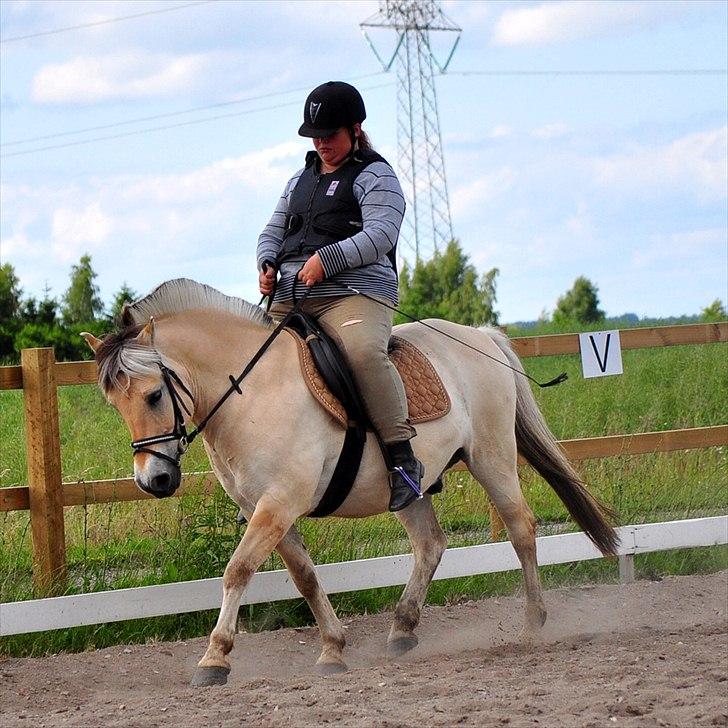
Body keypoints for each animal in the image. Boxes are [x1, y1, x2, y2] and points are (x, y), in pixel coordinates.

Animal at [85, 278, 620, 688]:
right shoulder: (269, 509)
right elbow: (304, 577)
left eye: (154, 395)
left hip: (492, 458)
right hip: (408, 487)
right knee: (430, 544)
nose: (154, 479)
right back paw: (402, 630)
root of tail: (482, 337)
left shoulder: (278, 503)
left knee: (520, 527)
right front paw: (333, 650)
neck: (250, 392)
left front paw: (214, 658)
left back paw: (532, 622)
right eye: (113, 403)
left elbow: (237, 571)